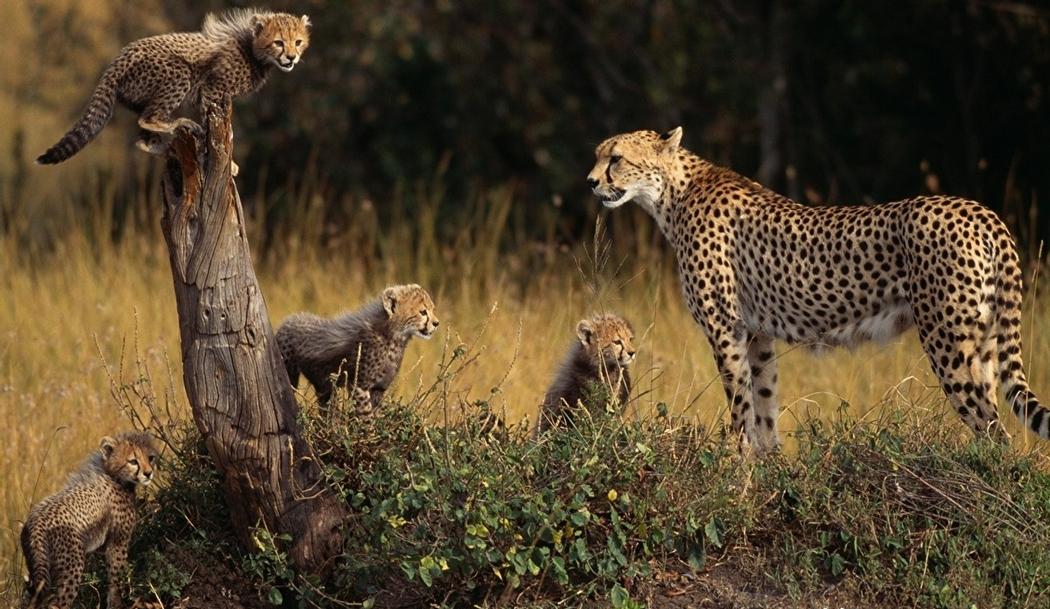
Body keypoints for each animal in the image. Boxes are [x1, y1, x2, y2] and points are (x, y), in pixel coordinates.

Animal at [588, 127, 1045, 451]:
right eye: (598, 155)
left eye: (616, 158)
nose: (591, 182)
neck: (672, 194)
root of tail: (980, 210)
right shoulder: (758, 336)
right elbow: (764, 407)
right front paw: (768, 471)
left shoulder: (725, 330)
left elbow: (740, 409)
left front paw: (736, 470)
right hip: (983, 342)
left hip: (946, 341)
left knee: (994, 431)